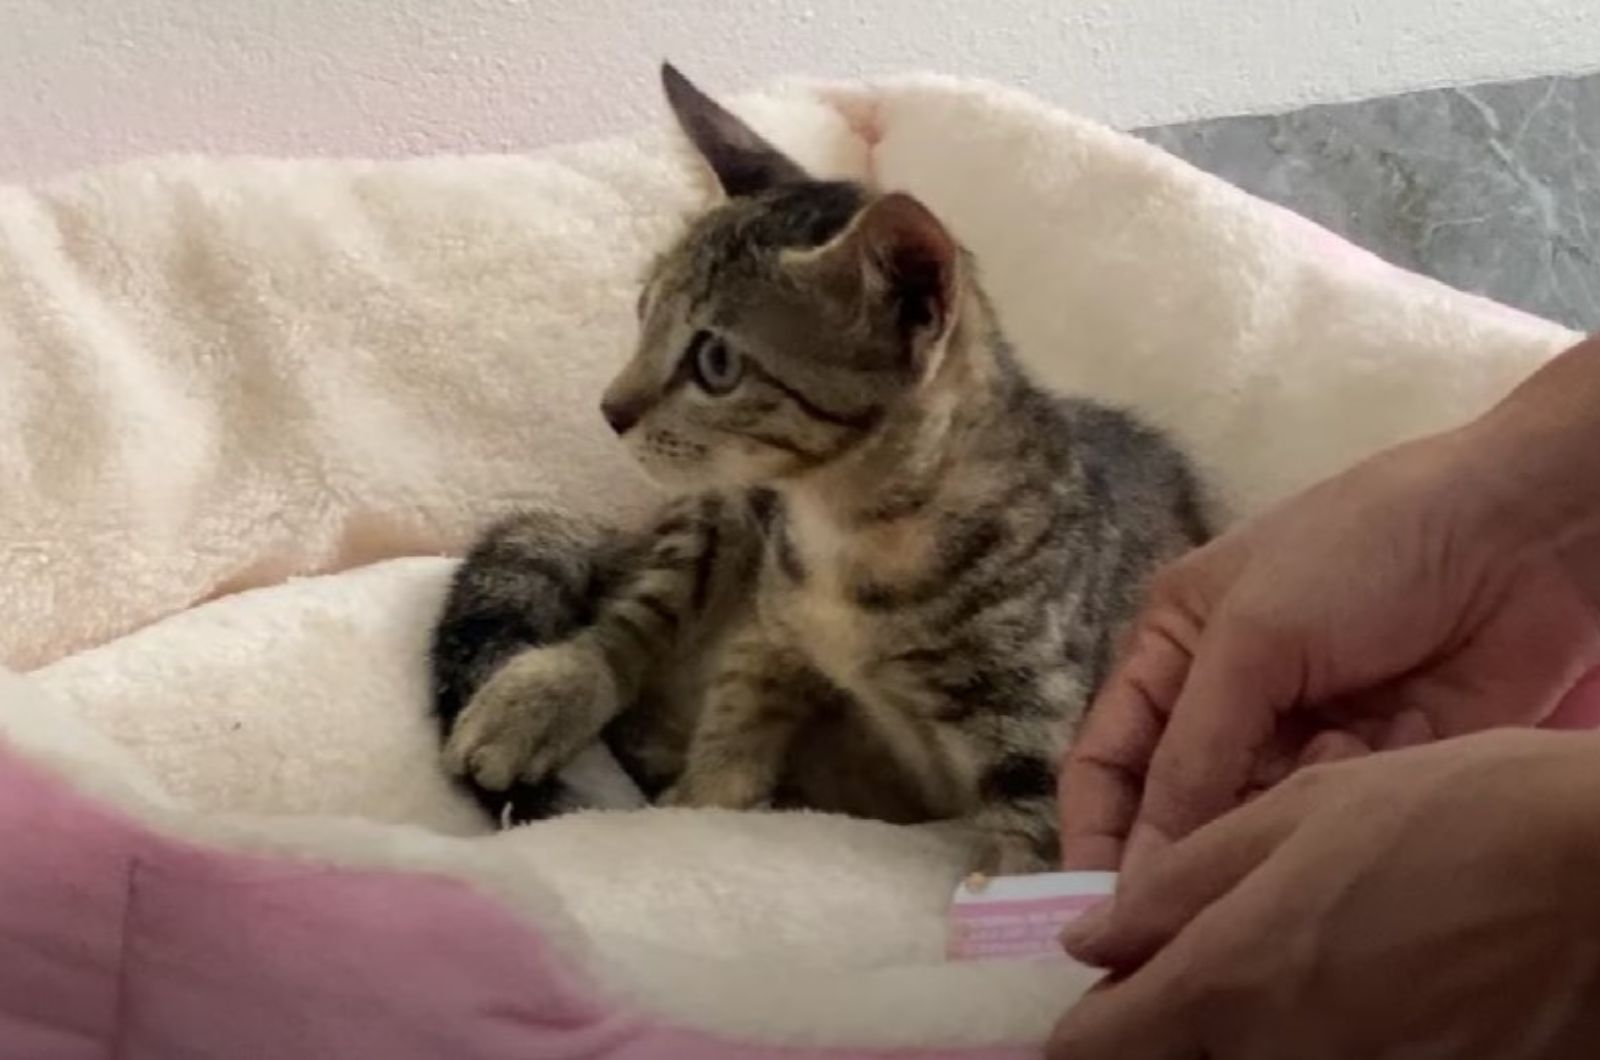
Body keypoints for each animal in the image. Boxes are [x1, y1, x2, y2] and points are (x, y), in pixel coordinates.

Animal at [432, 68, 1203, 877]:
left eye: (715, 363)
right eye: (643, 313)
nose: (611, 408)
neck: (846, 526)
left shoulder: (1039, 741)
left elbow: (1026, 866)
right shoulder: (767, 637)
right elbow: (725, 745)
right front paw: (692, 812)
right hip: (721, 510)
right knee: (631, 618)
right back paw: (540, 700)